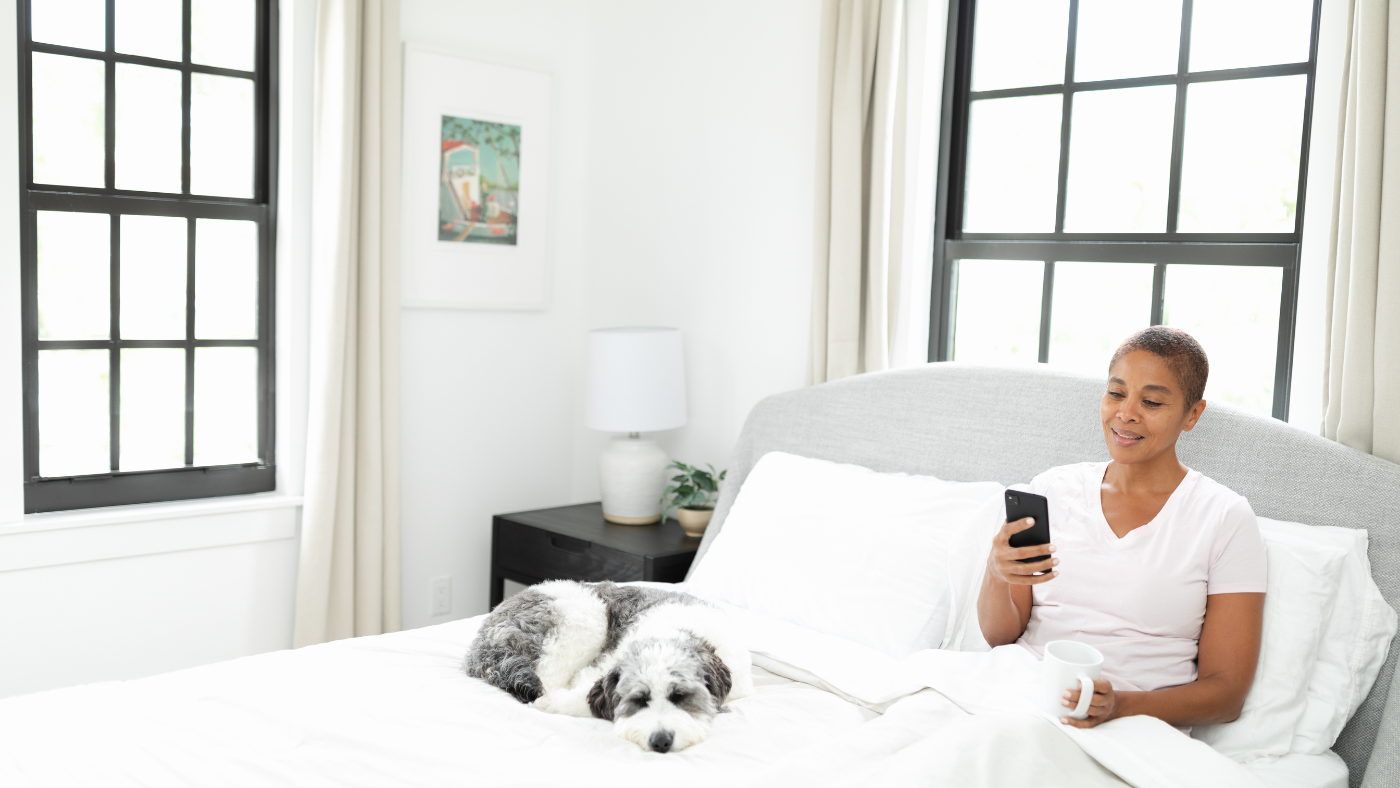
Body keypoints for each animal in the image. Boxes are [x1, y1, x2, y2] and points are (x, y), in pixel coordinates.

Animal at [464, 580, 754, 752]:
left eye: (681, 697)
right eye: (638, 700)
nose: (660, 741)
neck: (680, 630)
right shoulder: (599, 668)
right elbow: (586, 695)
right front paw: (553, 704)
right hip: (580, 623)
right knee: (548, 677)